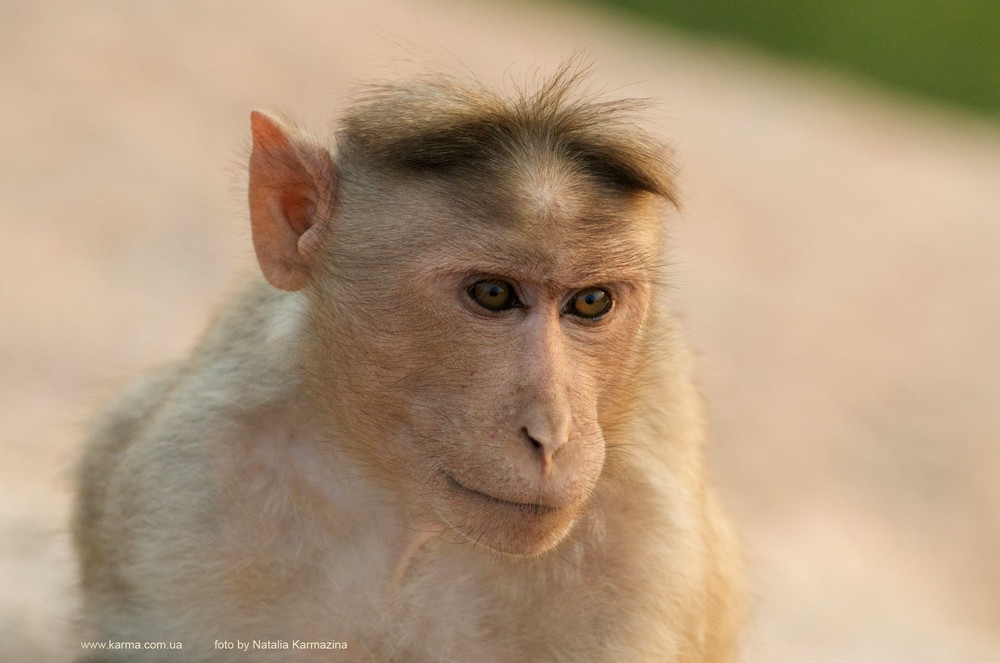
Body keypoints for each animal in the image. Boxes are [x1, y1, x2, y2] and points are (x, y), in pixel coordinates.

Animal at [72, 65, 744, 660]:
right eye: (492, 293)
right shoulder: (194, 486)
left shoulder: (646, 550)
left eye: (591, 301)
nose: (552, 435)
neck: (419, 524)